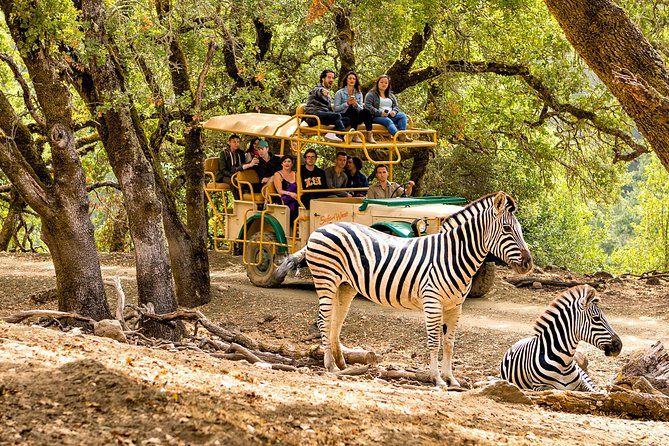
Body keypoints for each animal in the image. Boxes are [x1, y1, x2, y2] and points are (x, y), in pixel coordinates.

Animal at [272, 192, 532, 386]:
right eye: (507, 229)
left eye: (519, 229)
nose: (528, 263)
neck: (452, 255)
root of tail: (319, 230)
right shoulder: (432, 302)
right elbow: (434, 342)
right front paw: (437, 379)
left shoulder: (455, 306)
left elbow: (449, 343)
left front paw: (452, 379)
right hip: (325, 279)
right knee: (324, 320)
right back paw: (330, 366)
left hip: (345, 286)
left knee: (336, 321)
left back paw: (342, 364)